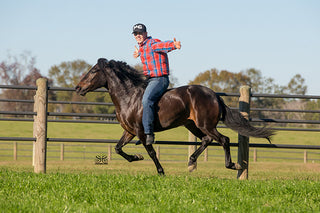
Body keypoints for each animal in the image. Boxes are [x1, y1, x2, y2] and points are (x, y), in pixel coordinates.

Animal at [75, 57, 272, 175]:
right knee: (207, 140)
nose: (78, 88)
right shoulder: (130, 131)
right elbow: (118, 148)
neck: (129, 97)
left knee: (224, 139)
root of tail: (215, 95)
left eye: (93, 71)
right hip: (192, 124)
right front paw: (136, 157)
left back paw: (232, 165)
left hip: (206, 124)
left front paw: (161, 171)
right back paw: (192, 161)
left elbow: (151, 151)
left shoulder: (141, 132)